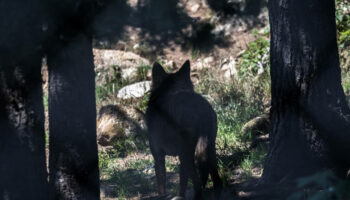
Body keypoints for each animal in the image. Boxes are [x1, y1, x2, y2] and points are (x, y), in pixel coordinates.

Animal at [146, 60, 223, 199]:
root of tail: (200, 108)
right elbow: (182, 184)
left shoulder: (158, 156)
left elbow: (162, 186)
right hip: (208, 149)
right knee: (216, 181)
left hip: (187, 155)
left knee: (198, 183)